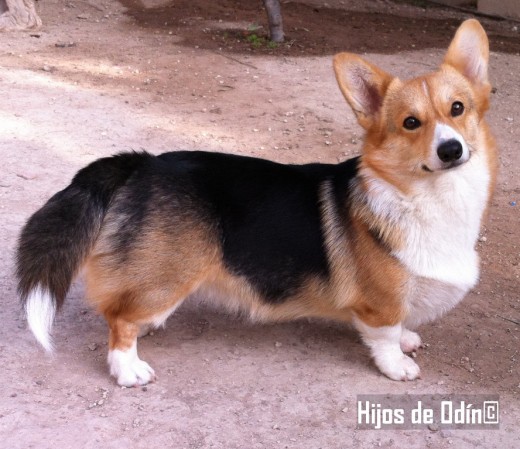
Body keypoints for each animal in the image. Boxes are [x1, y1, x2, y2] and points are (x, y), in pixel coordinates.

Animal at [16, 20, 496, 384]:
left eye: (458, 108)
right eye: (411, 123)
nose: (451, 150)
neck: (427, 197)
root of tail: (142, 162)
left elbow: (401, 326)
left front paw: (408, 339)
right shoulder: (381, 303)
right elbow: (385, 333)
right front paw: (398, 364)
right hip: (168, 275)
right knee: (120, 321)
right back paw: (129, 369)